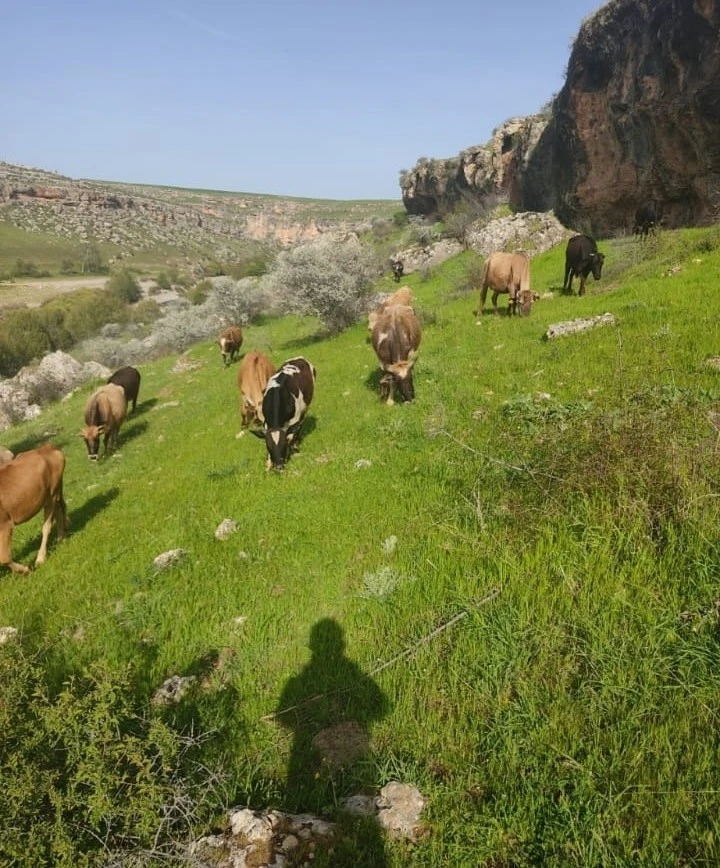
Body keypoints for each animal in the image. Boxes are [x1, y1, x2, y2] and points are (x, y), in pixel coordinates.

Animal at [0, 444, 68, 572]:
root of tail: (47, 447)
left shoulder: (5, 524)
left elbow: (4, 557)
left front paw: (24, 570)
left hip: (51, 495)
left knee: (47, 526)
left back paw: (41, 558)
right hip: (54, 494)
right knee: (58, 512)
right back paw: (61, 539)